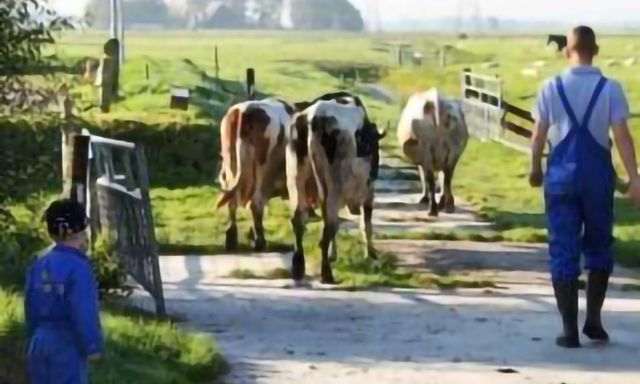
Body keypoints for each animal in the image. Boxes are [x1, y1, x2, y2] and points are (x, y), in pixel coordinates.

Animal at [216, 97, 294, 250]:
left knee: (233, 200)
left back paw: (231, 238)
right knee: (256, 202)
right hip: (262, 173)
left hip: (231, 164)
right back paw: (260, 241)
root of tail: (244, 111)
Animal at [286, 93, 382, 284]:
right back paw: (326, 273)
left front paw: (334, 254)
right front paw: (370, 254)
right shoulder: (368, 190)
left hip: (295, 179)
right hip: (333, 187)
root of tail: (313, 118)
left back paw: (298, 267)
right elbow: (366, 222)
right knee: (329, 226)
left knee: (299, 220)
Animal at [398, 88, 468, 218]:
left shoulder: (421, 158)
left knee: (431, 180)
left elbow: (424, 177)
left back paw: (433, 209)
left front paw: (424, 198)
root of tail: (437, 101)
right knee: (447, 178)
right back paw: (448, 206)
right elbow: (442, 177)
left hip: (427, 151)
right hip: (453, 152)